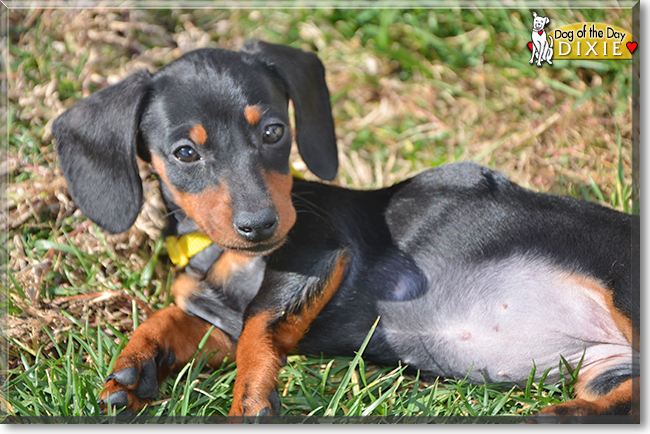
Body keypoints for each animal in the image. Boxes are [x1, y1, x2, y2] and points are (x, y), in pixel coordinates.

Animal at [52, 39, 636, 420]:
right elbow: (169, 320)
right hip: (605, 370)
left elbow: (260, 322)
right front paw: (131, 370)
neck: (219, 253)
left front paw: (251, 398)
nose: (262, 225)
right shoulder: (216, 321)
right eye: (185, 153)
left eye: (274, 131)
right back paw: (556, 415)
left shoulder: (319, 250)